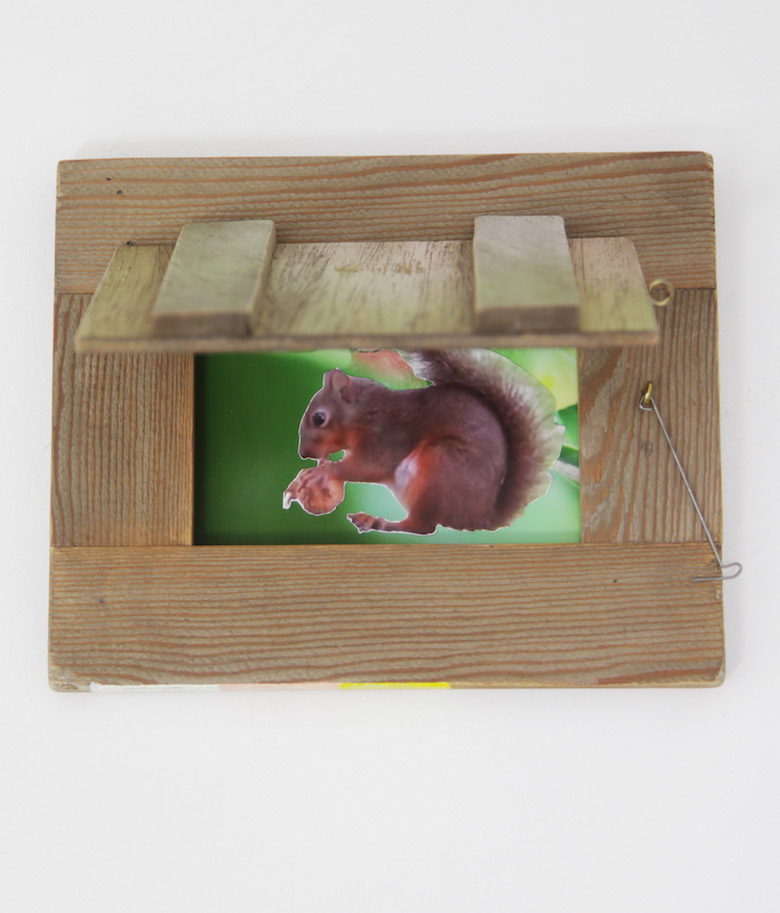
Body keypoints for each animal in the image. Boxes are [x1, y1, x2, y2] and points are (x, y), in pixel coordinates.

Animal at [282, 349, 565, 535]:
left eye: (319, 418)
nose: (304, 453)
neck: (367, 412)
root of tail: (481, 517)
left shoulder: (386, 438)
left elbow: (369, 466)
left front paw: (324, 471)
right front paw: (315, 468)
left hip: (438, 467)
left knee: (423, 527)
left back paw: (379, 522)